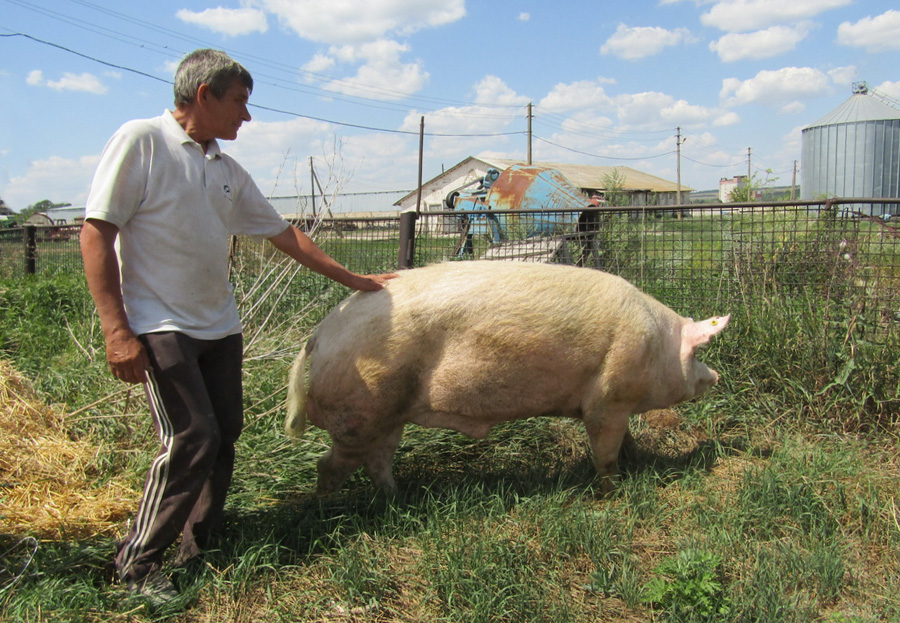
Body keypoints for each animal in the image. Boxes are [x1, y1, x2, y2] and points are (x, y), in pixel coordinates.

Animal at [284, 260, 728, 494]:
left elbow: (625, 440)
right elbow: (604, 452)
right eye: (697, 352)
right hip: (360, 414)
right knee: (330, 466)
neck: (656, 345)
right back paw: (330, 507)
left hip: (388, 418)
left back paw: (398, 498)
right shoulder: (607, 400)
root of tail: (318, 335)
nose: (717, 375)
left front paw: (634, 458)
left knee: (378, 462)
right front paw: (613, 491)